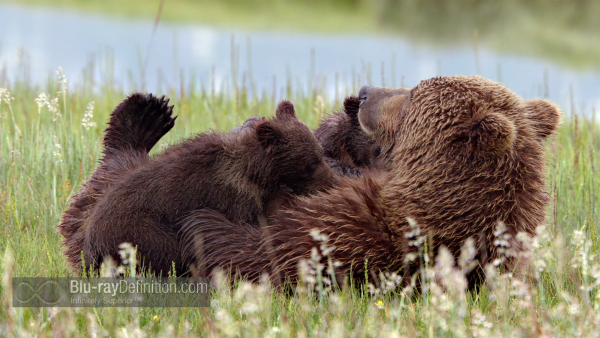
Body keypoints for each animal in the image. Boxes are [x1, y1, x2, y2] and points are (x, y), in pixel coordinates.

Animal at [80, 99, 336, 276]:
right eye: (312, 161)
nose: (332, 180)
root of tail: (92, 242)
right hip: (140, 229)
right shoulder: (233, 195)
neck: (253, 169)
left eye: (319, 152)